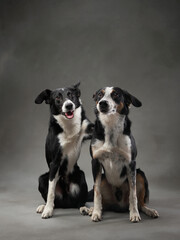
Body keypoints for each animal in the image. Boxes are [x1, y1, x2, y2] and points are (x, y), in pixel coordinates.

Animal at [34, 83, 93, 219]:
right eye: (57, 98)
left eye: (71, 95)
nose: (69, 105)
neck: (68, 124)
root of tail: (67, 201)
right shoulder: (55, 162)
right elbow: (51, 192)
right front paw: (48, 210)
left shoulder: (88, 129)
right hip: (42, 179)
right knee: (54, 200)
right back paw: (44, 206)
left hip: (80, 176)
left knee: (79, 201)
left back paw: (83, 208)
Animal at [80, 86, 159, 223]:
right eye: (100, 95)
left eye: (116, 94)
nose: (102, 103)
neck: (110, 126)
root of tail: (118, 205)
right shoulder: (95, 162)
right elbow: (97, 193)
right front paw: (96, 213)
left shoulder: (131, 163)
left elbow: (133, 193)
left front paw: (134, 214)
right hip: (103, 179)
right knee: (103, 203)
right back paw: (90, 210)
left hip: (140, 174)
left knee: (141, 203)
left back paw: (149, 211)